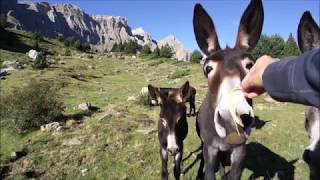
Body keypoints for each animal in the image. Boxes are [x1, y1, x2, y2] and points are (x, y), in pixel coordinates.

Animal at [192, 0, 262, 179]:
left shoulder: (240, 151)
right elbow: (210, 172)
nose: (233, 117)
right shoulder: (210, 149)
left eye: (250, 65)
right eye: (208, 69)